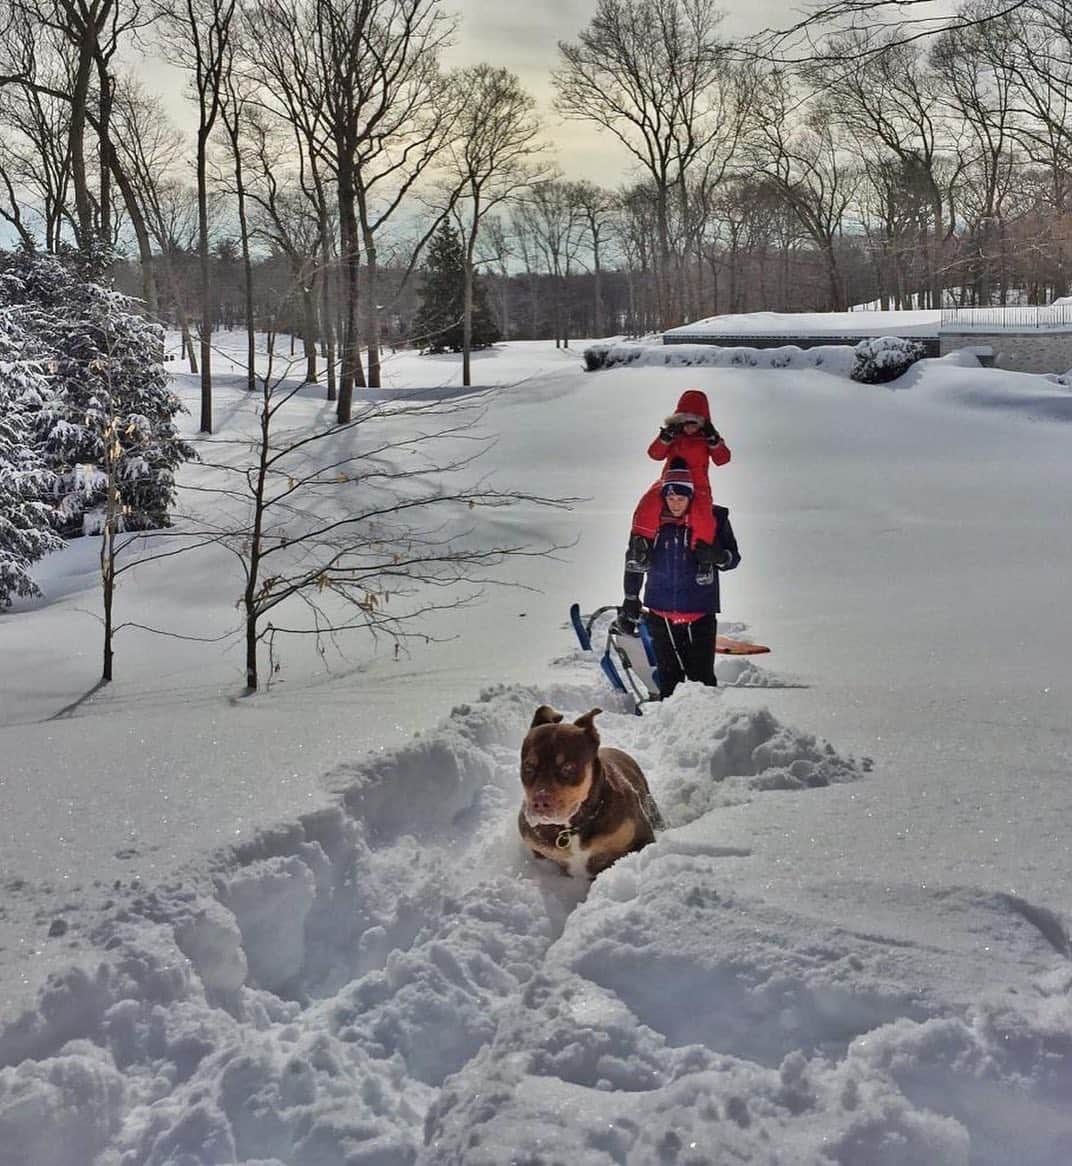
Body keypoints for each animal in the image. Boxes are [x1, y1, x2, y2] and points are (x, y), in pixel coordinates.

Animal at [517, 704, 662, 876]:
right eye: (528, 767)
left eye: (568, 767)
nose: (539, 802)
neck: (572, 829)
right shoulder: (536, 847)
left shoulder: (643, 837)